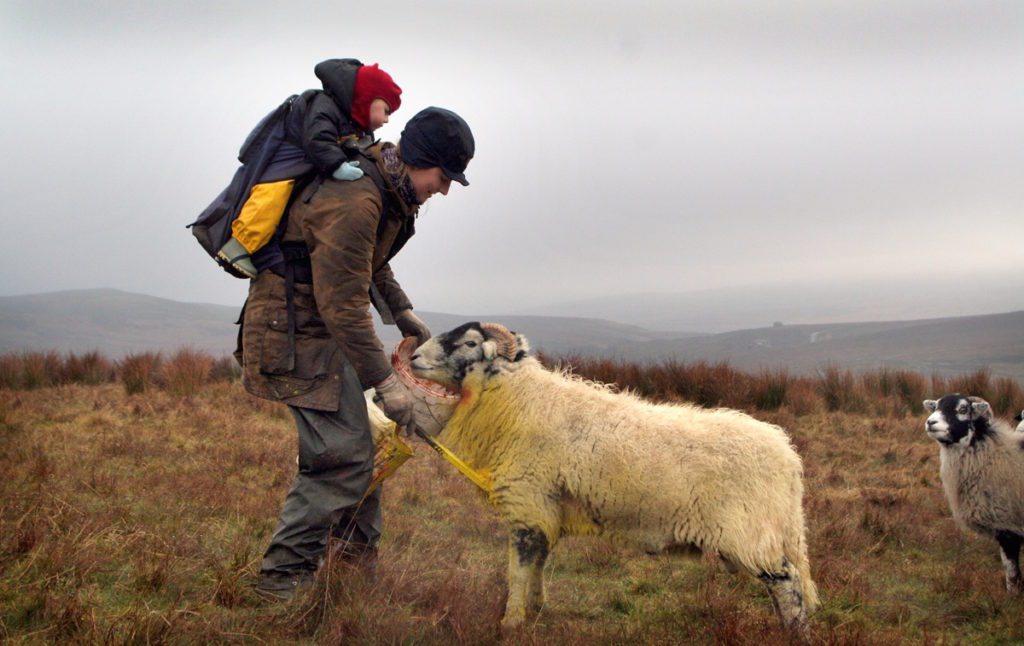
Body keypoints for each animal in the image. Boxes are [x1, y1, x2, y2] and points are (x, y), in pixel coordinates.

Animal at [411, 321, 819, 638]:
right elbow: (538, 563)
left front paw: (510, 623)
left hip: (746, 531)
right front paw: (537, 609)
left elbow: (517, 572)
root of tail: (787, 457)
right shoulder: (545, 510)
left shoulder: (527, 503)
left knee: (788, 582)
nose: (413, 357)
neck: (522, 402)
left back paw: (795, 633)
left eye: (469, 343)